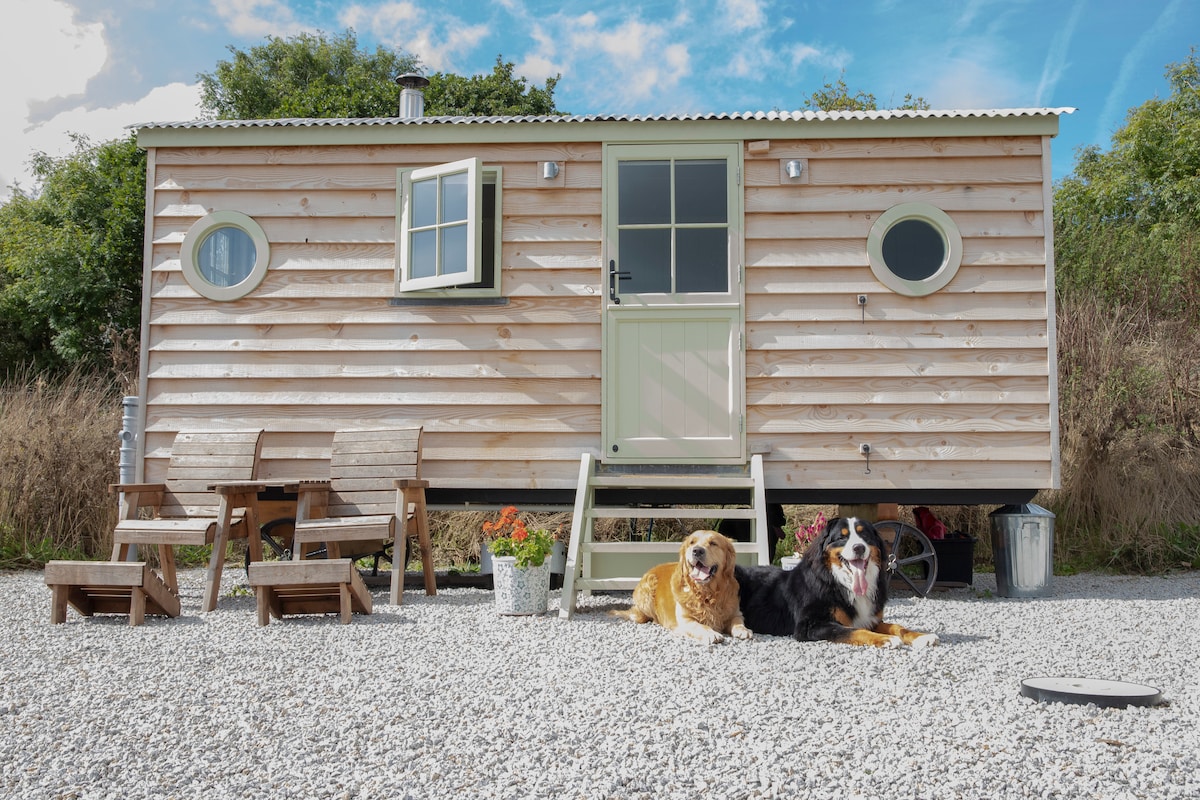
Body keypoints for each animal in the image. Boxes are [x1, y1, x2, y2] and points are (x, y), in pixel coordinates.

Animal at [729, 515, 936, 647]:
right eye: (842, 537)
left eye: (864, 535)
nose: (859, 547)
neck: (841, 582)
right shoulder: (810, 625)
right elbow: (853, 630)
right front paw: (884, 639)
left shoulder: (870, 618)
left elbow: (897, 626)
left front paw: (921, 636)